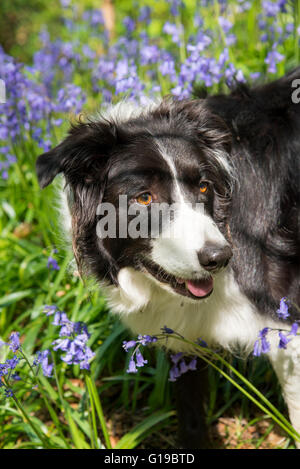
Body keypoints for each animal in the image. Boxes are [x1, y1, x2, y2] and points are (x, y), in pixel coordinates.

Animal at [35, 68, 300, 446]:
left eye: (204, 186)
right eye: (144, 198)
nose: (221, 257)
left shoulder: (286, 324)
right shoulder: (184, 332)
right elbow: (189, 412)